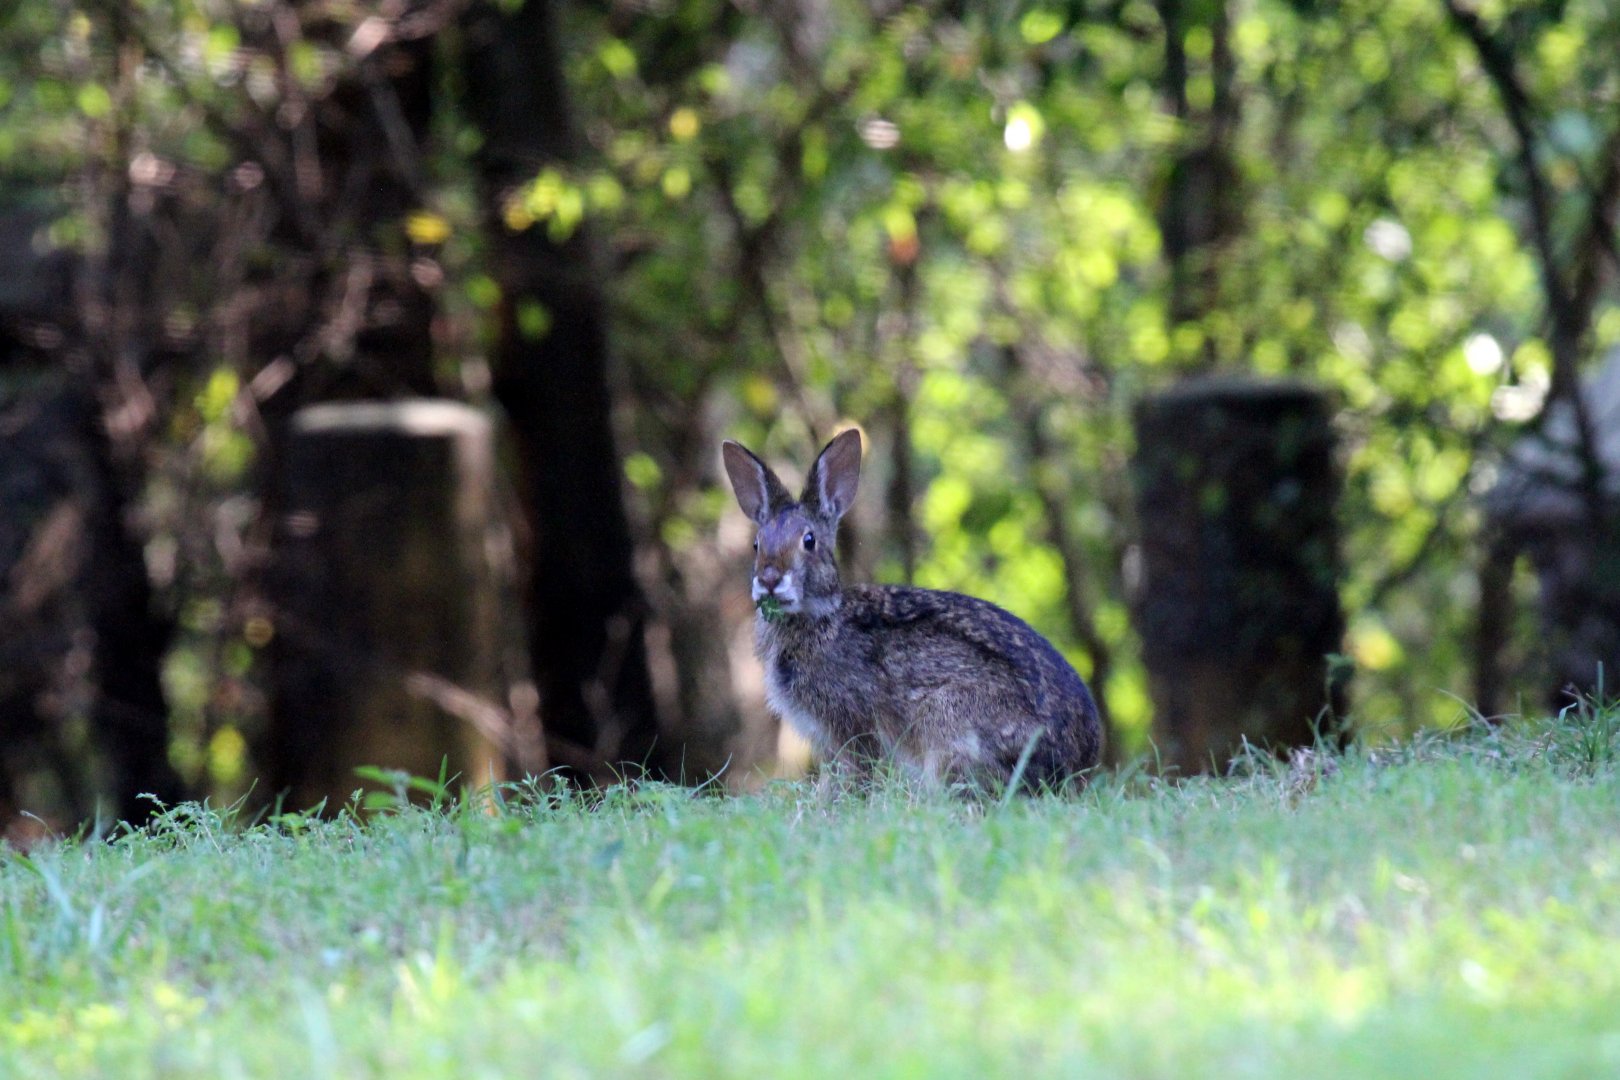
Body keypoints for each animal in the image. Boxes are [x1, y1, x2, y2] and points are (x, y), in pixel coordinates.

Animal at [722, 428, 1102, 791]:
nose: (769, 580)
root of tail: (1078, 763)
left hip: (949, 722)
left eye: (809, 541)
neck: (821, 617)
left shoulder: (852, 726)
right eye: (756, 544)